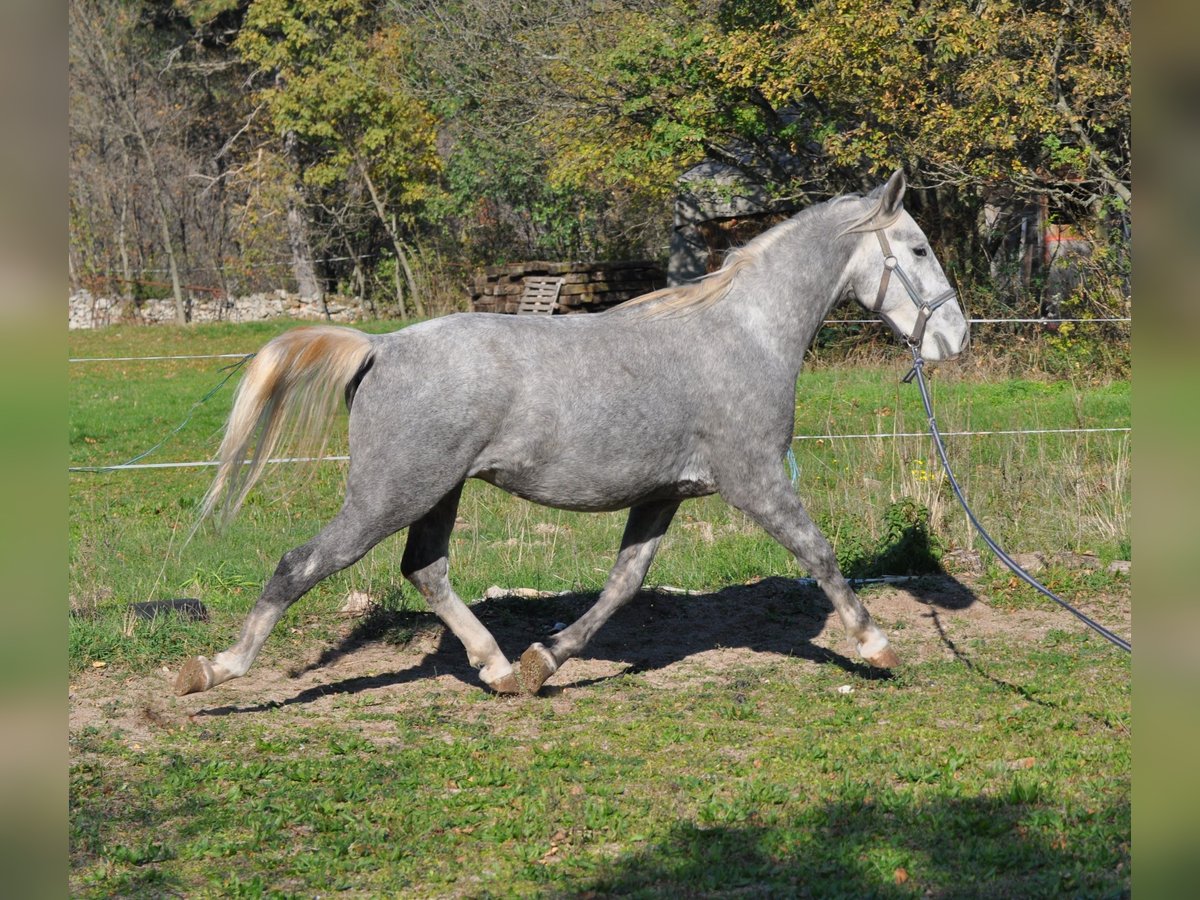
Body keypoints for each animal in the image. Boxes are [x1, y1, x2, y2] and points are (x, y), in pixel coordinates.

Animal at [175, 172, 964, 700]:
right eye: (919, 249)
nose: (956, 339)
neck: (746, 334)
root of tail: (382, 347)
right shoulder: (757, 481)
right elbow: (819, 553)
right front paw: (877, 646)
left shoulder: (663, 495)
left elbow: (623, 585)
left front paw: (544, 660)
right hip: (387, 496)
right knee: (301, 564)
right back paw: (214, 670)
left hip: (435, 493)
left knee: (426, 570)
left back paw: (497, 668)